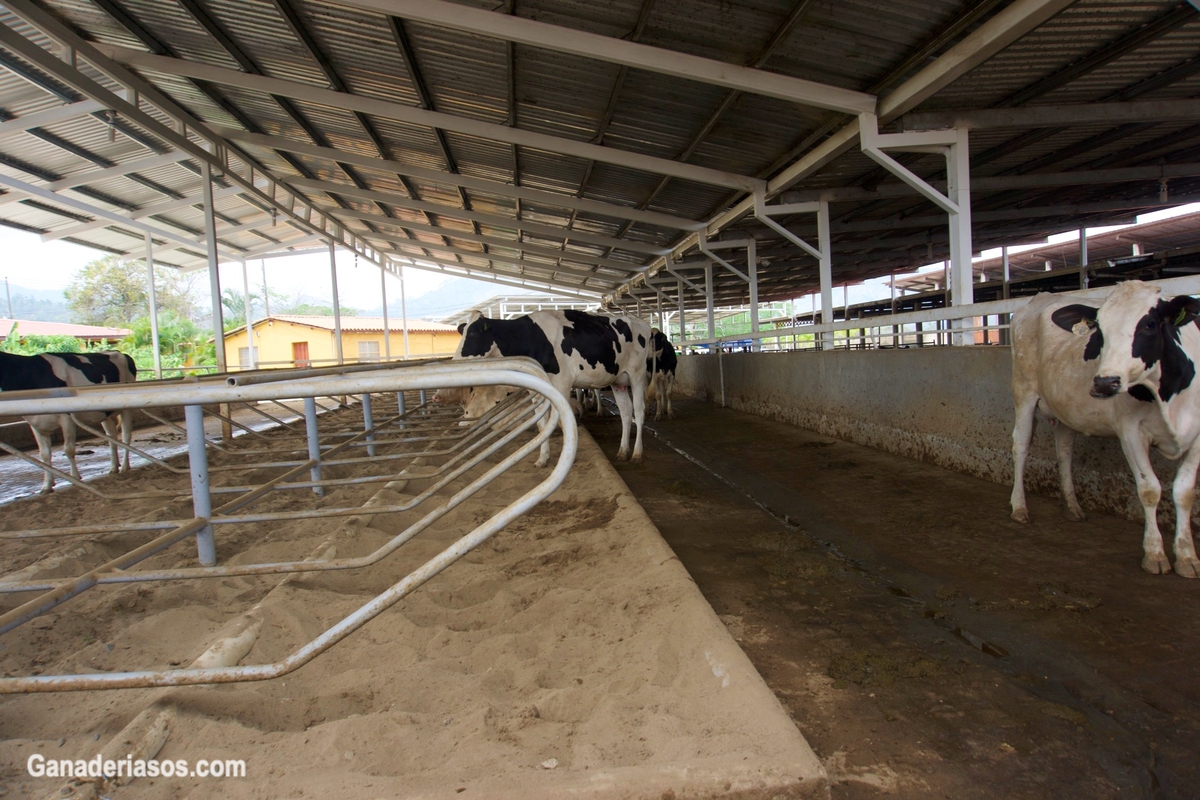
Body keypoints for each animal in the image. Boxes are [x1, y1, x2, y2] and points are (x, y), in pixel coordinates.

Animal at [0, 350, 137, 494]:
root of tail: (119, 352)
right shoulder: (35, 424)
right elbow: (44, 455)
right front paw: (47, 485)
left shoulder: (67, 418)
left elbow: (69, 450)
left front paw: (75, 478)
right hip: (105, 413)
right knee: (111, 436)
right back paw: (114, 467)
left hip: (126, 407)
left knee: (126, 435)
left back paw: (125, 466)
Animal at [451, 309, 657, 465]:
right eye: (463, 332)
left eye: (473, 333)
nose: (454, 361)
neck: (532, 337)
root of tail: (643, 323)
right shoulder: (537, 390)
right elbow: (543, 424)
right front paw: (543, 458)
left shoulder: (562, 384)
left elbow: (562, 421)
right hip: (618, 381)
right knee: (625, 412)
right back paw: (622, 450)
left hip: (637, 375)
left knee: (639, 411)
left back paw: (636, 453)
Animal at [1012, 284, 1200, 578]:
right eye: (1098, 330)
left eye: (1150, 324)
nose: (1104, 382)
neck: (1169, 394)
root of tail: (1041, 297)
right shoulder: (1131, 432)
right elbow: (1150, 489)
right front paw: (1155, 554)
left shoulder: (1198, 436)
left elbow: (1184, 492)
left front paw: (1187, 556)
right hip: (1024, 391)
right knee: (1021, 444)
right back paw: (1019, 506)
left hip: (1066, 407)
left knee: (1064, 451)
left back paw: (1072, 506)